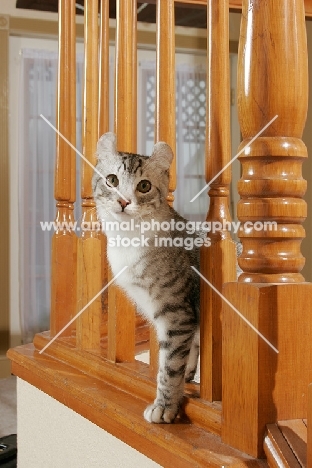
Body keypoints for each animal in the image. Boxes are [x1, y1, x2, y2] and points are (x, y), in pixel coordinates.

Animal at [91, 133, 204, 424]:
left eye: (144, 186)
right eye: (112, 180)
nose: (123, 201)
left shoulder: (176, 314)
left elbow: (169, 366)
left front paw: (165, 406)